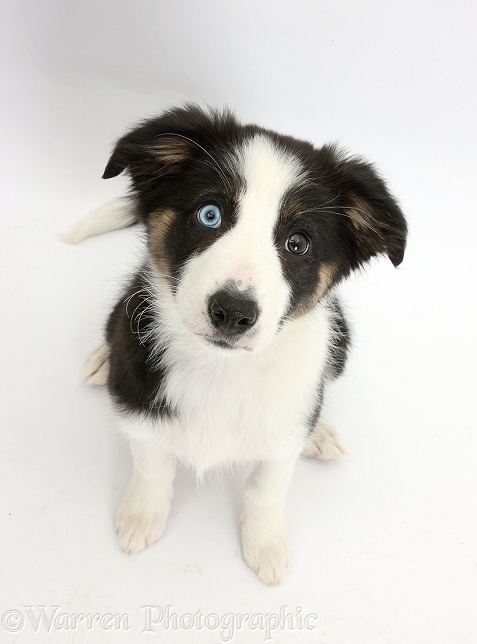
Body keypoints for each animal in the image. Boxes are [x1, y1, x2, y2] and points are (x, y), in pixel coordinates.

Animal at [73, 104, 406, 584]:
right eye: (209, 214)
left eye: (298, 243)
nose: (232, 312)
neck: (220, 368)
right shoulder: (141, 405)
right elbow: (152, 463)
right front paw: (142, 516)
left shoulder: (282, 436)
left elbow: (267, 487)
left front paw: (265, 545)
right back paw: (103, 360)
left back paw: (320, 433)